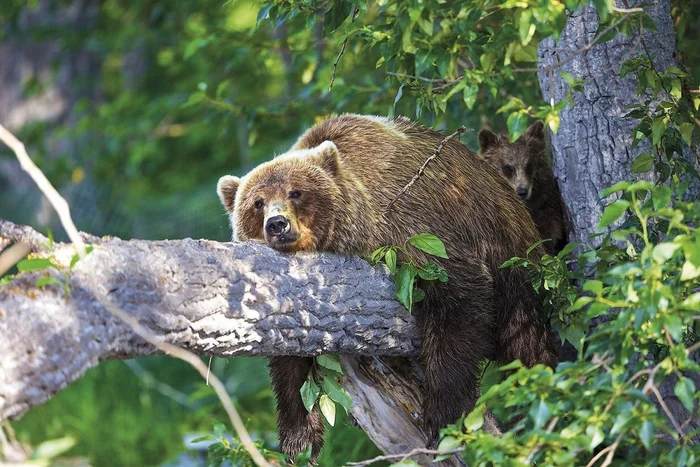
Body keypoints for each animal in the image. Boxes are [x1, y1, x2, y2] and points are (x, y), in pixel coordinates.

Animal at [217, 114, 556, 464]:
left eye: (295, 193)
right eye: (258, 203)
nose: (277, 224)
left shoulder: (412, 231)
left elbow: (458, 296)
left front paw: (443, 414)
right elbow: (291, 361)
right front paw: (299, 437)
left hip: (512, 259)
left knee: (526, 342)